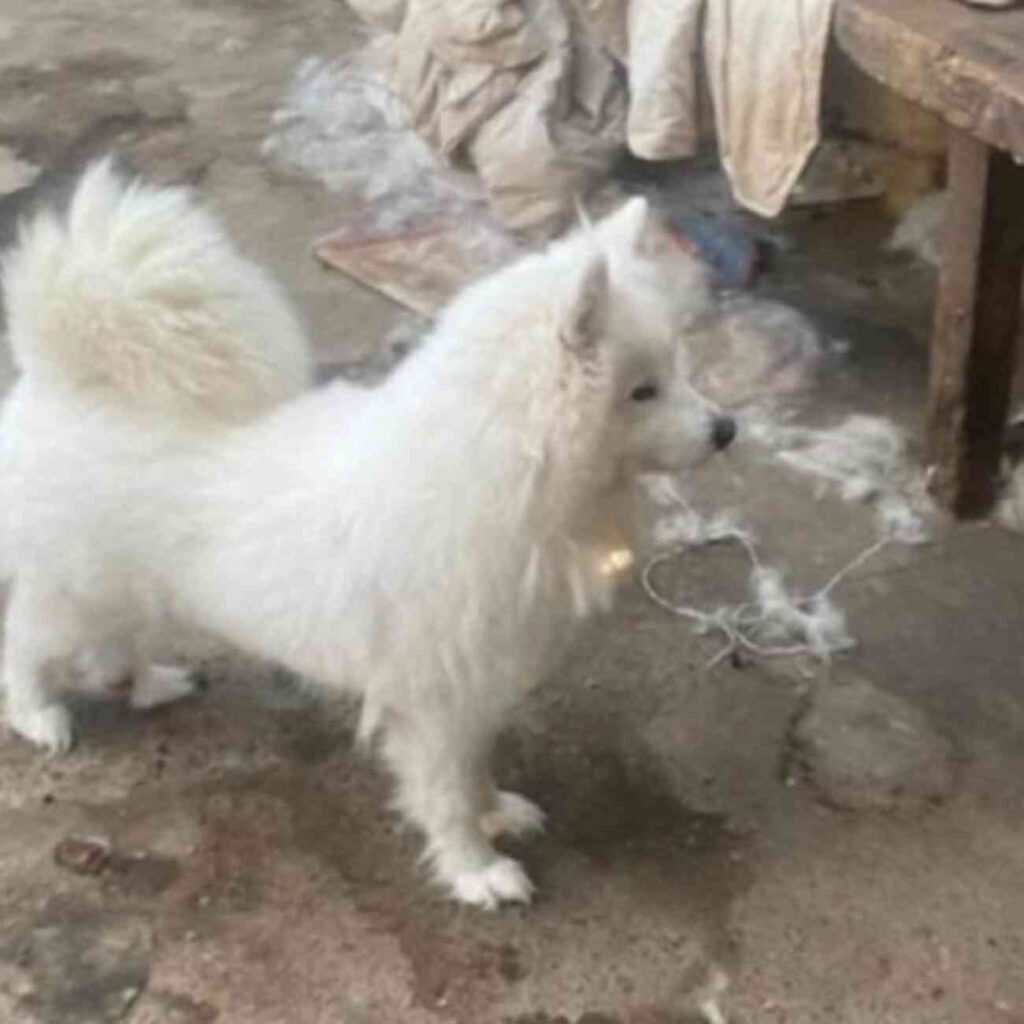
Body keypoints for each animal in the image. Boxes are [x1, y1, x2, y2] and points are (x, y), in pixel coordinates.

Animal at [0, 159, 737, 905]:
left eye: (677, 366)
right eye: (642, 391)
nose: (726, 429)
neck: (501, 471)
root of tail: (63, 379)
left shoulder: (476, 688)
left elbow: (475, 769)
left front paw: (496, 812)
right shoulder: (434, 699)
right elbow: (445, 792)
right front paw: (475, 869)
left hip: (122, 590)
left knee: (104, 647)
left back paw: (145, 681)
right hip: (75, 590)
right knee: (25, 643)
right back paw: (39, 716)